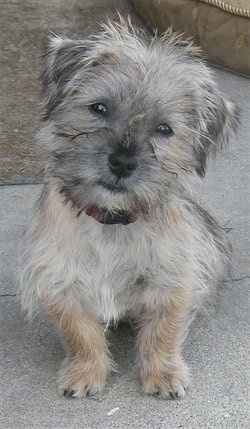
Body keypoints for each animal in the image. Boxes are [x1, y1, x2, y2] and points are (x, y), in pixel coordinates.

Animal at [20, 18, 237, 400]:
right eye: (99, 108)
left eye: (164, 129)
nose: (122, 162)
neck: (112, 220)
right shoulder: (61, 281)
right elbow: (80, 333)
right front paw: (86, 371)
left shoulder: (172, 279)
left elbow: (163, 331)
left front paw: (163, 373)